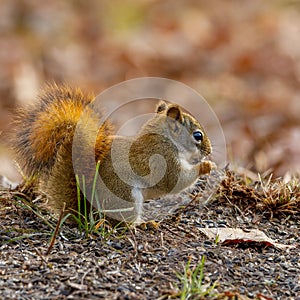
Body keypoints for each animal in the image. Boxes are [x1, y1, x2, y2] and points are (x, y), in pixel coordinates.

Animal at [12, 83, 212, 224]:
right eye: (198, 135)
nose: (209, 151)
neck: (165, 139)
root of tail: (89, 213)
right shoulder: (163, 158)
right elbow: (176, 180)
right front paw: (204, 166)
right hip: (127, 196)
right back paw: (142, 224)